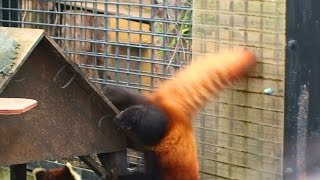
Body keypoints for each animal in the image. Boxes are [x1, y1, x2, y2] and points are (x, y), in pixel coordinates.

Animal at [109, 48, 256, 179]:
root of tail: (176, 112)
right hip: (159, 126)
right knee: (150, 122)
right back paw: (128, 116)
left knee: (133, 99)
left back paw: (113, 94)